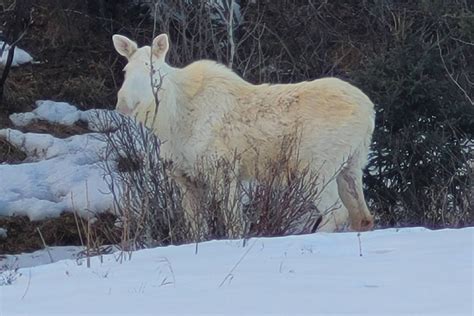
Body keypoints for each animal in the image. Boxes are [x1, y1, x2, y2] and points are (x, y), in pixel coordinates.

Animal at [113, 33, 376, 233]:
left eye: (152, 69)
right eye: (125, 70)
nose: (123, 103)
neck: (170, 124)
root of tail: (370, 111)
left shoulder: (223, 169)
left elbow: (234, 224)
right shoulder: (186, 178)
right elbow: (196, 230)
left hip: (315, 167)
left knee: (337, 212)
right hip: (352, 165)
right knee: (362, 216)